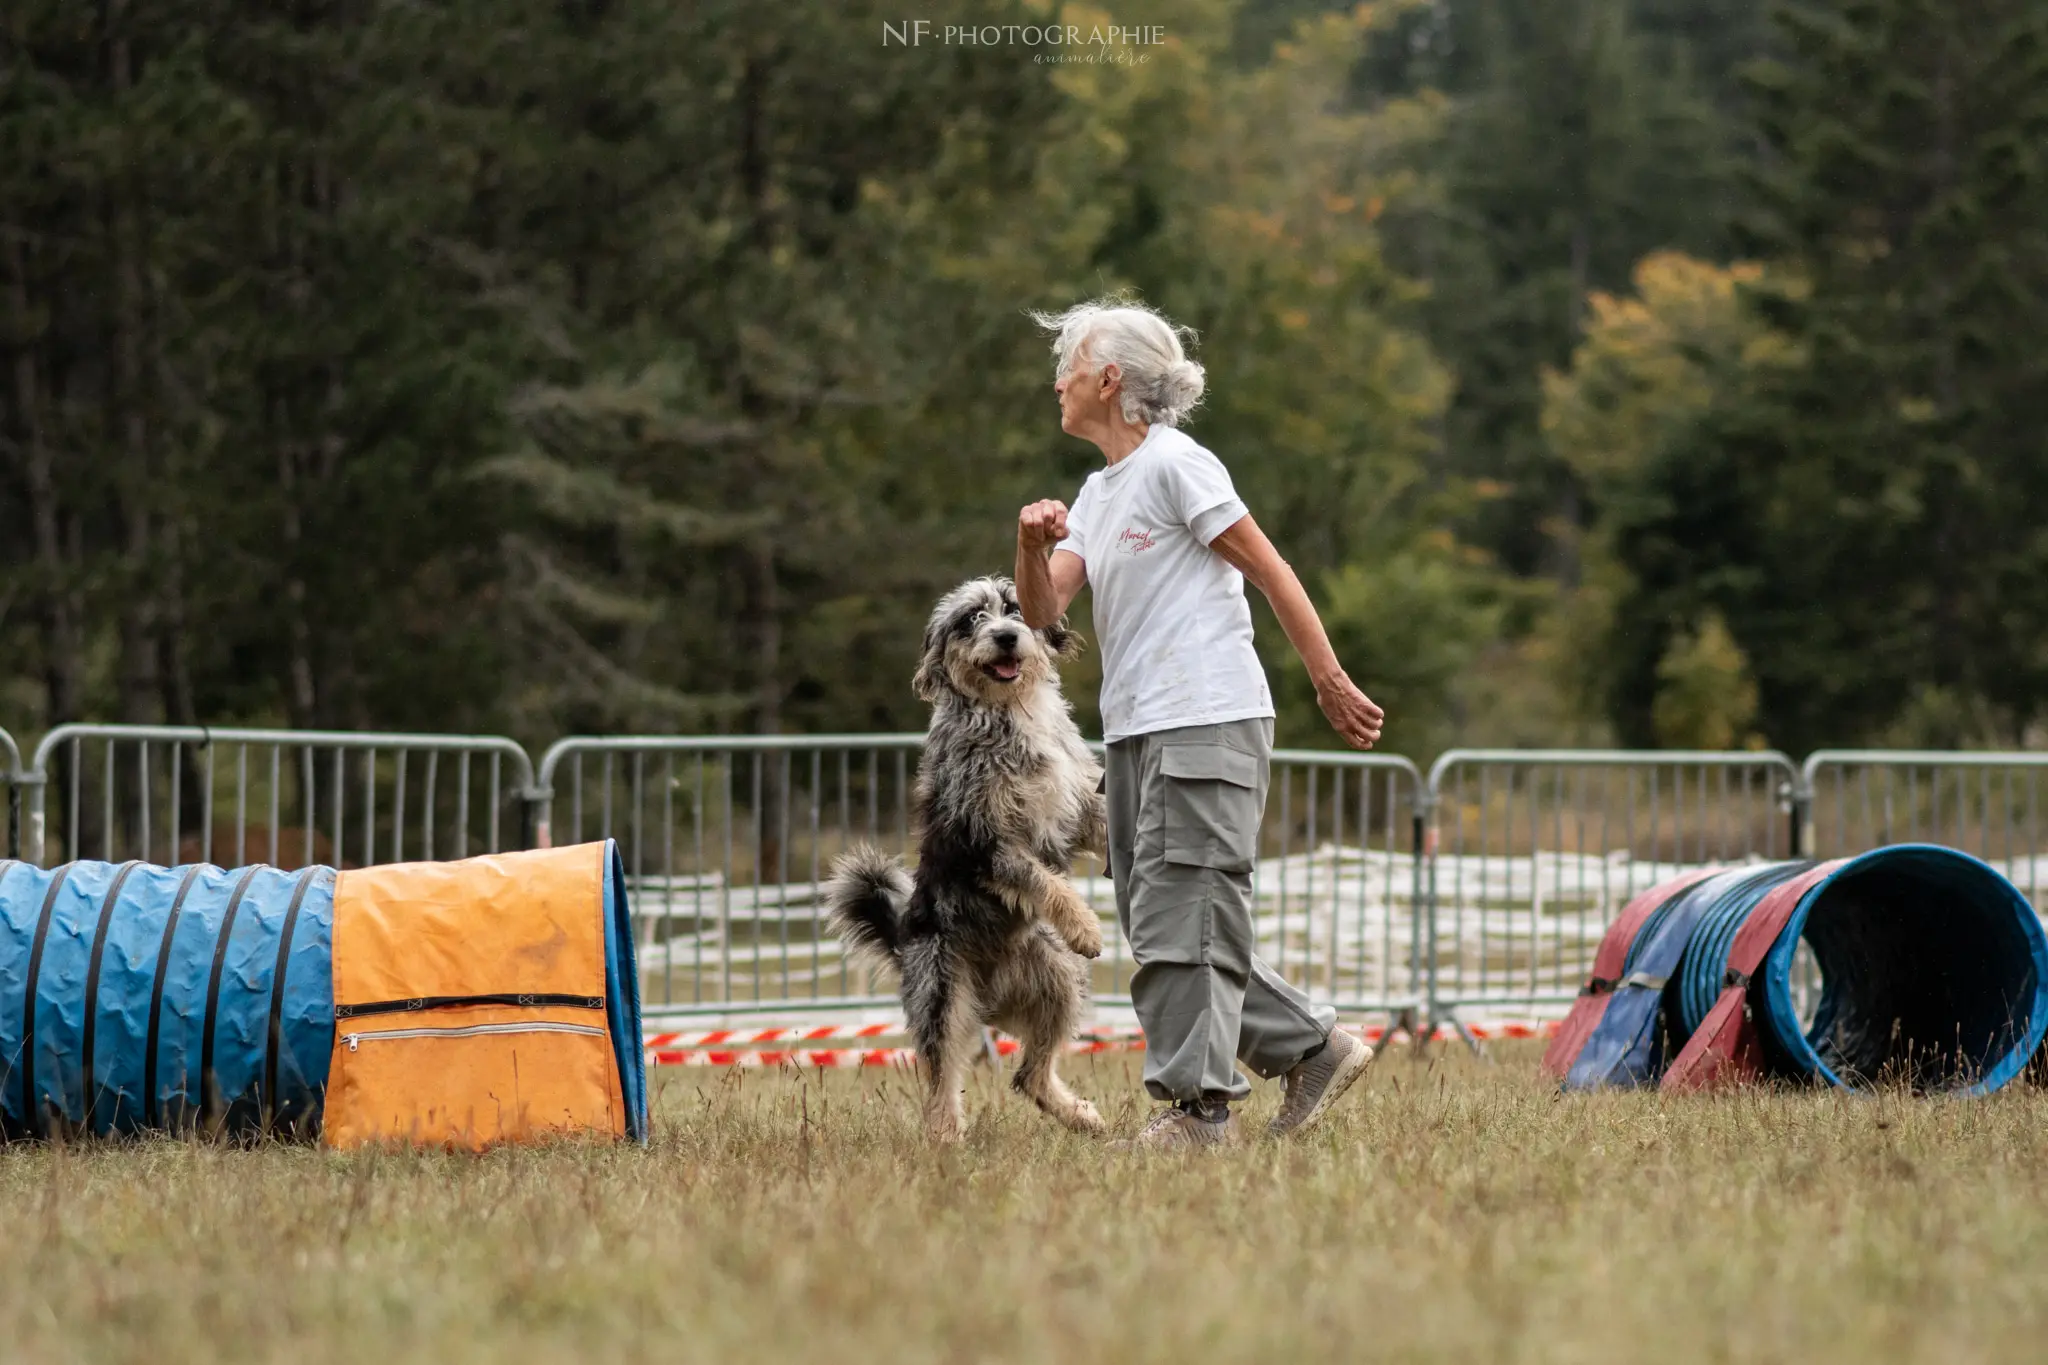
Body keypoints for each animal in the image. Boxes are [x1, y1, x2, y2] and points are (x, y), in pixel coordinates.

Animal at [827, 573, 1114, 1146]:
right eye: (969, 620)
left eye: (1014, 609)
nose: (1005, 636)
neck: (1008, 711)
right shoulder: (984, 841)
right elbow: (1041, 880)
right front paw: (1084, 926)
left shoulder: (1075, 805)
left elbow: (1101, 826)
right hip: (943, 995)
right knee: (941, 1083)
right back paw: (947, 1139)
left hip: (1058, 979)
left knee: (1029, 1076)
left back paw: (1082, 1117)